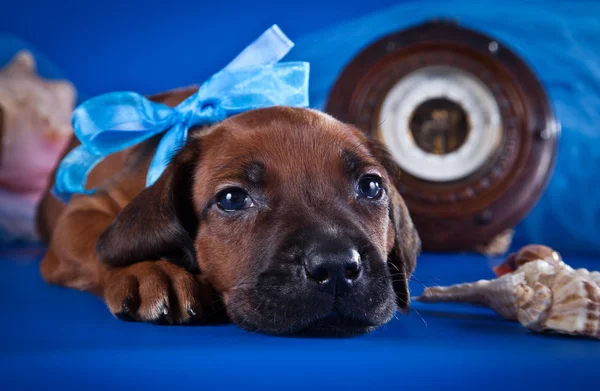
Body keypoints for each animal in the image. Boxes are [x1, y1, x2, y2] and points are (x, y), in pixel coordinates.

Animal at [36, 89, 422, 336]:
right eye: (233, 199)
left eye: (371, 187)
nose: (338, 267)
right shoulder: (84, 210)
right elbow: (99, 246)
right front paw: (149, 270)